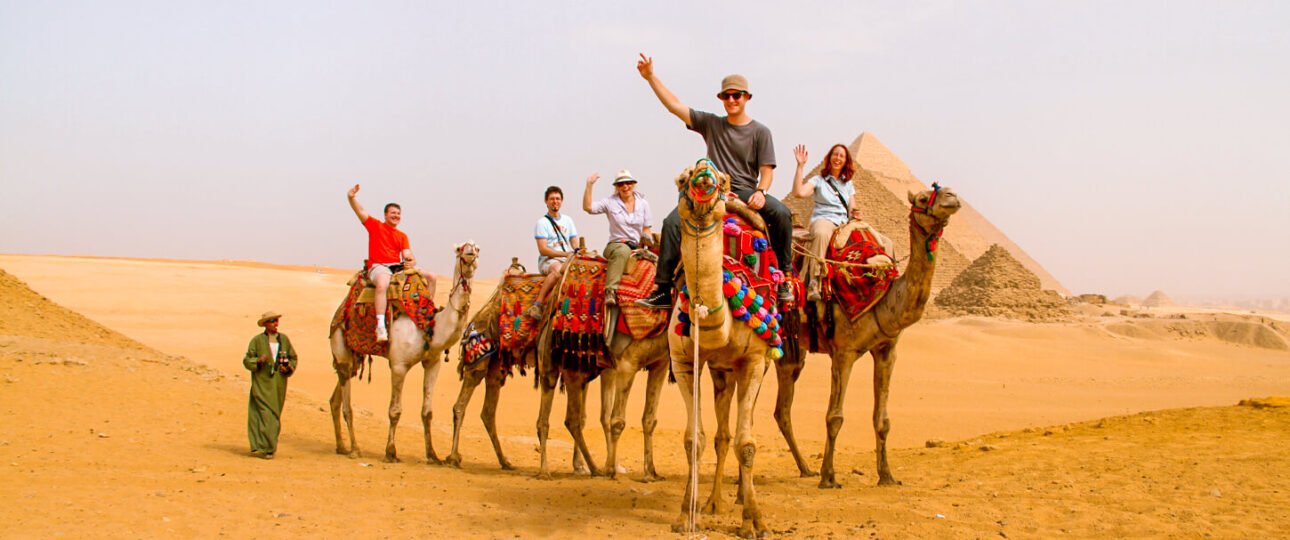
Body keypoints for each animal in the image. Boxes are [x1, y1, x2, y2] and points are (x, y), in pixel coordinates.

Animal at [327, 243, 479, 463]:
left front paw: (433, 455)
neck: (429, 326)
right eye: (460, 249)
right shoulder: (399, 365)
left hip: (353, 356)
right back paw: (355, 449)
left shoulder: (433, 363)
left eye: (477, 249)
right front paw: (391, 452)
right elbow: (395, 411)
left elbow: (427, 412)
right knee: (347, 404)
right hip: (340, 344)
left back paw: (341, 446)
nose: (470, 255)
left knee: (335, 398)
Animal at [665, 161, 774, 540]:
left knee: (743, 430)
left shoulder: (754, 360)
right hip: (721, 372)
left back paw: (740, 499)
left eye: (724, 180)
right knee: (722, 435)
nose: (704, 175)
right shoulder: (684, 361)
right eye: (681, 179)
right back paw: (714, 502)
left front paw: (755, 522)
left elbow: (748, 443)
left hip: (752, 367)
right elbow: (693, 439)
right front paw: (686, 515)